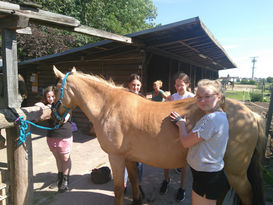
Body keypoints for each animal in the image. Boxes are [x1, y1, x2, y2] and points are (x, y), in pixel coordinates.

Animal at [51, 66, 264, 204]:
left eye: (56, 88)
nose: (54, 117)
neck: (108, 106)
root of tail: (251, 115)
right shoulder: (129, 158)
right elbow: (134, 180)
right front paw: (137, 200)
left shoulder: (116, 157)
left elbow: (118, 189)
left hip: (236, 172)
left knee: (246, 194)